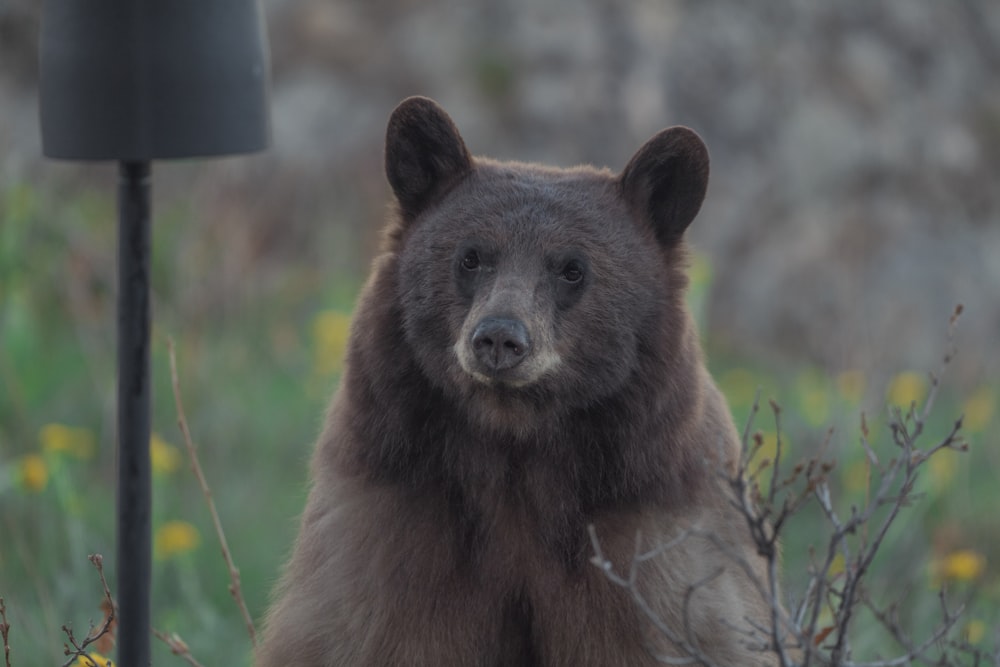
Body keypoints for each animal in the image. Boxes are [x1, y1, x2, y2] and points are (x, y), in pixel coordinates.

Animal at [256, 96, 780, 664]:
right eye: (470, 257)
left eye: (573, 269)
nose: (499, 338)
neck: (516, 453)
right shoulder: (390, 524)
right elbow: (368, 632)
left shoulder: (657, 543)